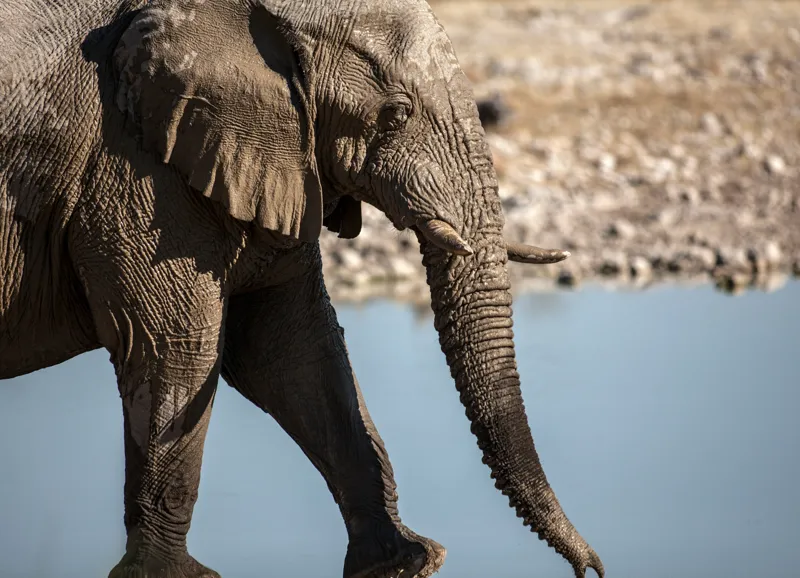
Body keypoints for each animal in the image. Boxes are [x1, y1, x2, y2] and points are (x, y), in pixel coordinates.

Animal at [0, 0, 603, 577]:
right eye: (394, 115)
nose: (591, 569)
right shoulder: (135, 169)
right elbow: (175, 350)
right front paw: (171, 575)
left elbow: (294, 350)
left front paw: (404, 562)